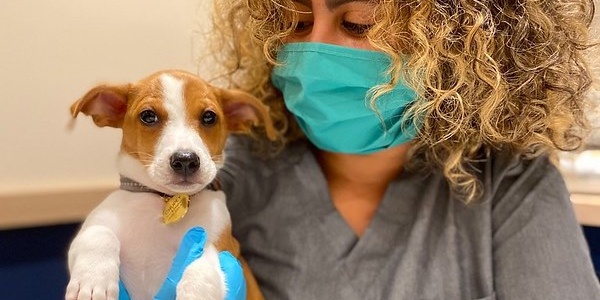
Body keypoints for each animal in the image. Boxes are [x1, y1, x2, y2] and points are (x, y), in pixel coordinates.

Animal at [66, 69, 272, 300]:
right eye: (148, 116)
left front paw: (195, 291)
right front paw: (92, 281)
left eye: (209, 117)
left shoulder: (224, 246)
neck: (163, 200)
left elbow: (202, 261)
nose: (185, 160)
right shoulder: (92, 229)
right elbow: (99, 233)